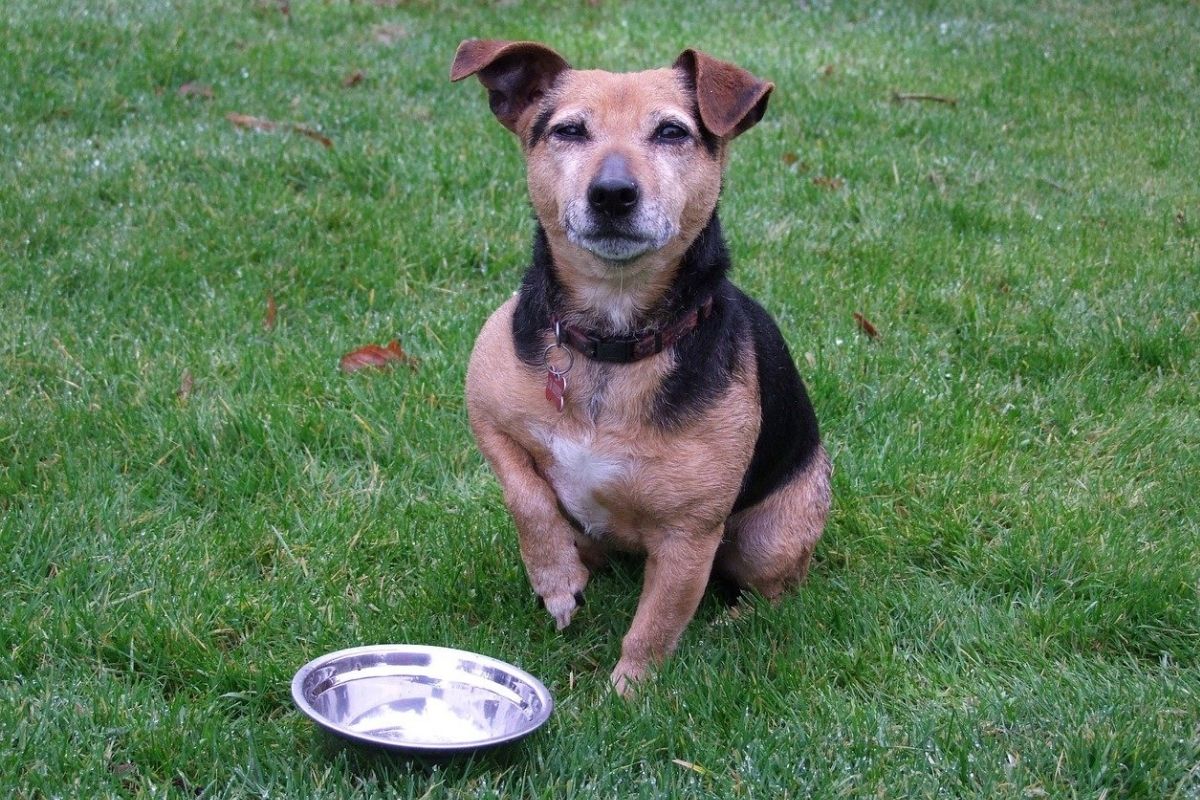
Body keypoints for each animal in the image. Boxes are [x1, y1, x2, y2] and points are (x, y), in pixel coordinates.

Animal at [453, 38, 830, 695]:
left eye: (672, 132)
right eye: (569, 130)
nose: (612, 193)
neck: (614, 338)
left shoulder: (689, 538)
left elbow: (655, 628)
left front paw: (626, 697)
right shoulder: (488, 418)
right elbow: (526, 495)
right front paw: (555, 579)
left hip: (772, 537)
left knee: (772, 594)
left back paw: (734, 623)